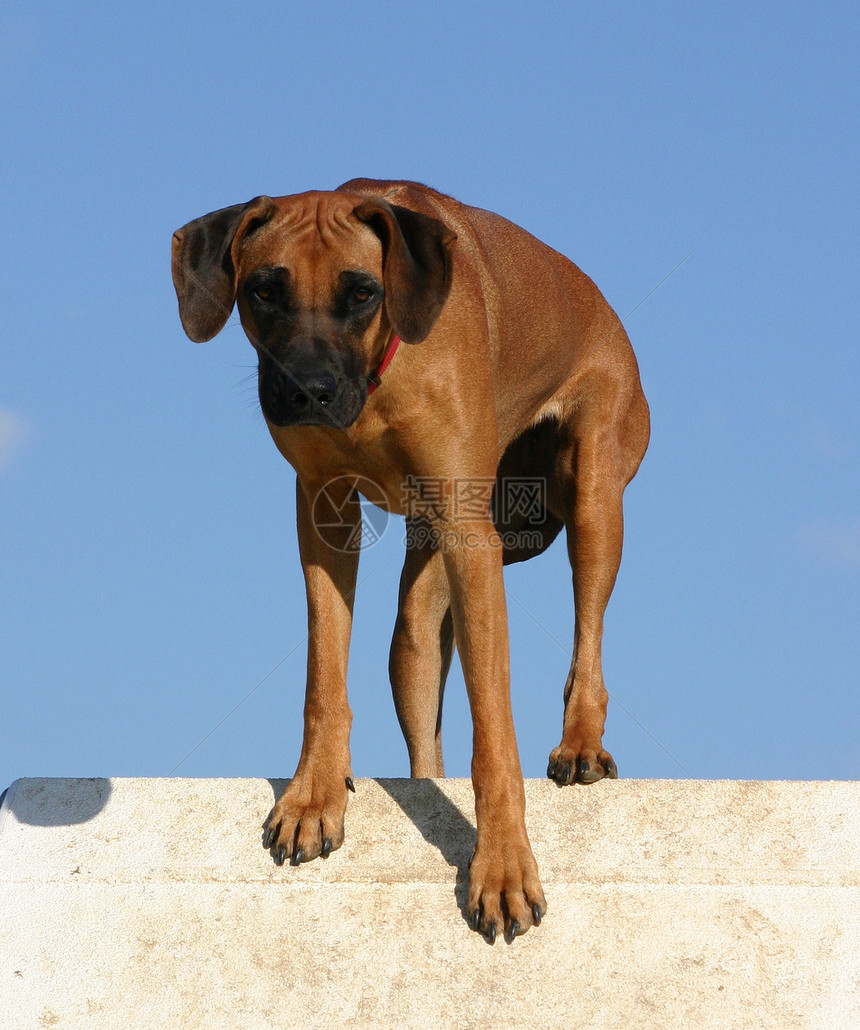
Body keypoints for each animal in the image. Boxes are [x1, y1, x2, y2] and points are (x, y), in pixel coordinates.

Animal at [172, 179, 650, 943]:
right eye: (264, 290)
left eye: (363, 293)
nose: (308, 391)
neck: (380, 376)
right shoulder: (324, 515)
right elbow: (323, 675)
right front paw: (313, 795)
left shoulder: (471, 539)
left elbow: (495, 732)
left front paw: (503, 866)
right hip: (419, 612)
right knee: (422, 697)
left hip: (594, 493)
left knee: (588, 639)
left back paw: (580, 742)